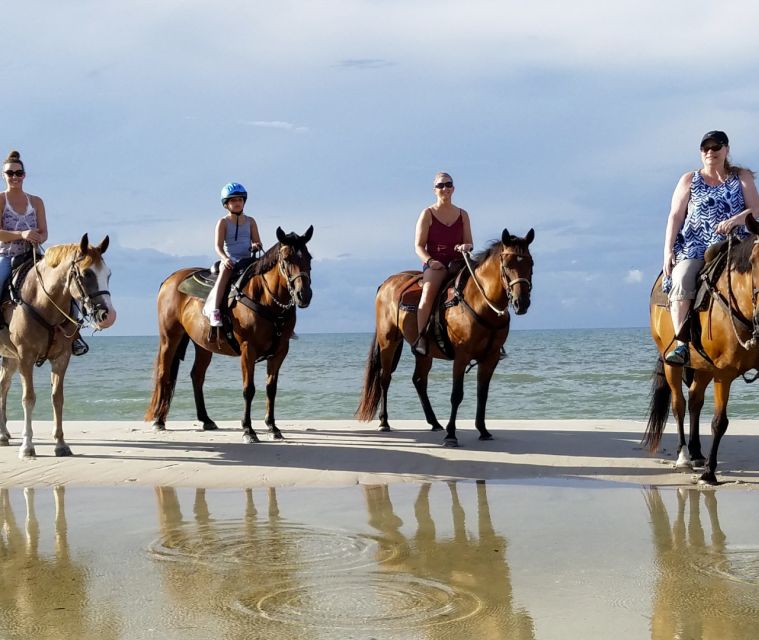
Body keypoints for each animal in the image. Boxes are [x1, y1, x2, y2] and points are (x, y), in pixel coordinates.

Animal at [145, 224, 312, 440]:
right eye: (286, 259)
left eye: (309, 258)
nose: (303, 295)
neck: (265, 299)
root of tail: (170, 279)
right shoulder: (248, 349)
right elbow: (248, 389)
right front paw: (248, 430)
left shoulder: (280, 351)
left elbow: (271, 389)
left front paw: (273, 427)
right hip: (169, 338)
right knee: (164, 373)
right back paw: (159, 420)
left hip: (203, 345)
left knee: (197, 376)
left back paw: (206, 419)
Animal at [356, 229, 536, 444]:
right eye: (507, 265)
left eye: (531, 264)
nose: (521, 302)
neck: (480, 302)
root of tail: (386, 283)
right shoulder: (461, 356)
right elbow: (456, 394)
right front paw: (451, 434)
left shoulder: (490, 358)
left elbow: (482, 394)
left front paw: (483, 430)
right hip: (388, 342)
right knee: (385, 378)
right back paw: (384, 422)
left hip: (423, 352)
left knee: (419, 380)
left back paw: (434, 422)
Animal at [644, 212, 759, 482]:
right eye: (754, 259)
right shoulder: (724, 373)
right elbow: (719, 422)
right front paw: (709, 473)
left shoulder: (717, 370)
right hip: (672, 364)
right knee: (679, 405)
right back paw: (684, 457)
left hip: (704, 366)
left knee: (695, 400)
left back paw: (696, 453)